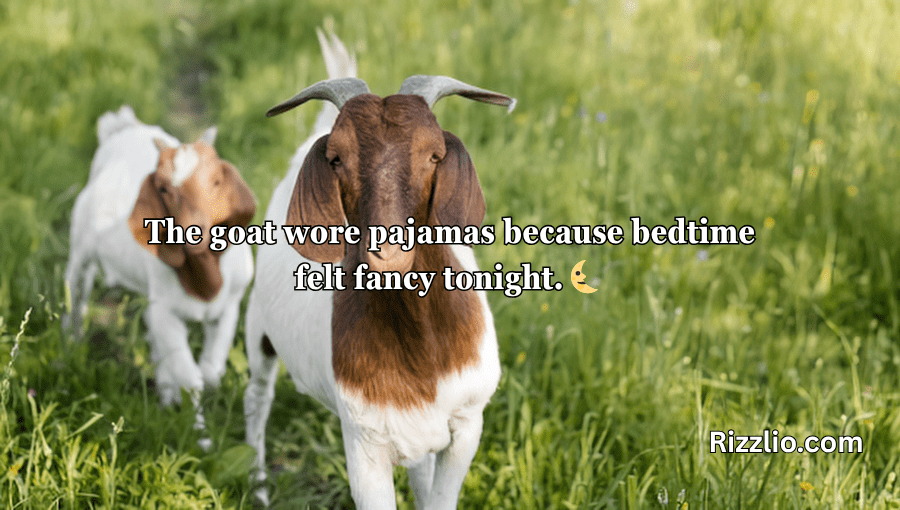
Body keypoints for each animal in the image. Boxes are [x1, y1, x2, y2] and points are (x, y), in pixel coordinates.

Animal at [65, 106, 256, 425]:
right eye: (164, 188)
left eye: (216, 181)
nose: (193, 232)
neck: (205, 282)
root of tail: (124, 128)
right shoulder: (166, 312)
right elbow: (191, 378)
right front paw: (197, 432)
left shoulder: (229, 306)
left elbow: (210, 371)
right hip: (80, 249)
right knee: (76, 296)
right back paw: (67, 349)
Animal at [244, 31, 514, 509]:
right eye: (336, 158)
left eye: (434, 155)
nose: (386, 250)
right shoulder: (364, 444)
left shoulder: (467, 423)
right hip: (259, 331)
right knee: (256, 399)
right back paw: (258, 486)